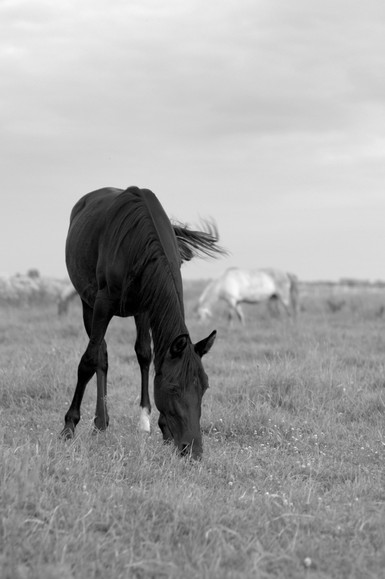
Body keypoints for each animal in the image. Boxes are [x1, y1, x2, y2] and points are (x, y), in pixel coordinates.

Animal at [58, 188, 224, 460]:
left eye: (205, 387)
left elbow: (147, 355)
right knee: (99, 355)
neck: (141, 245)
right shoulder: (103, 304)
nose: (193, 450)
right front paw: (68, 426)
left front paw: (158, 427)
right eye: (174, 388)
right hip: (87, 303)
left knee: (134, 353)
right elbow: (88, 362)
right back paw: (99, 422)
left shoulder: (147, 307)